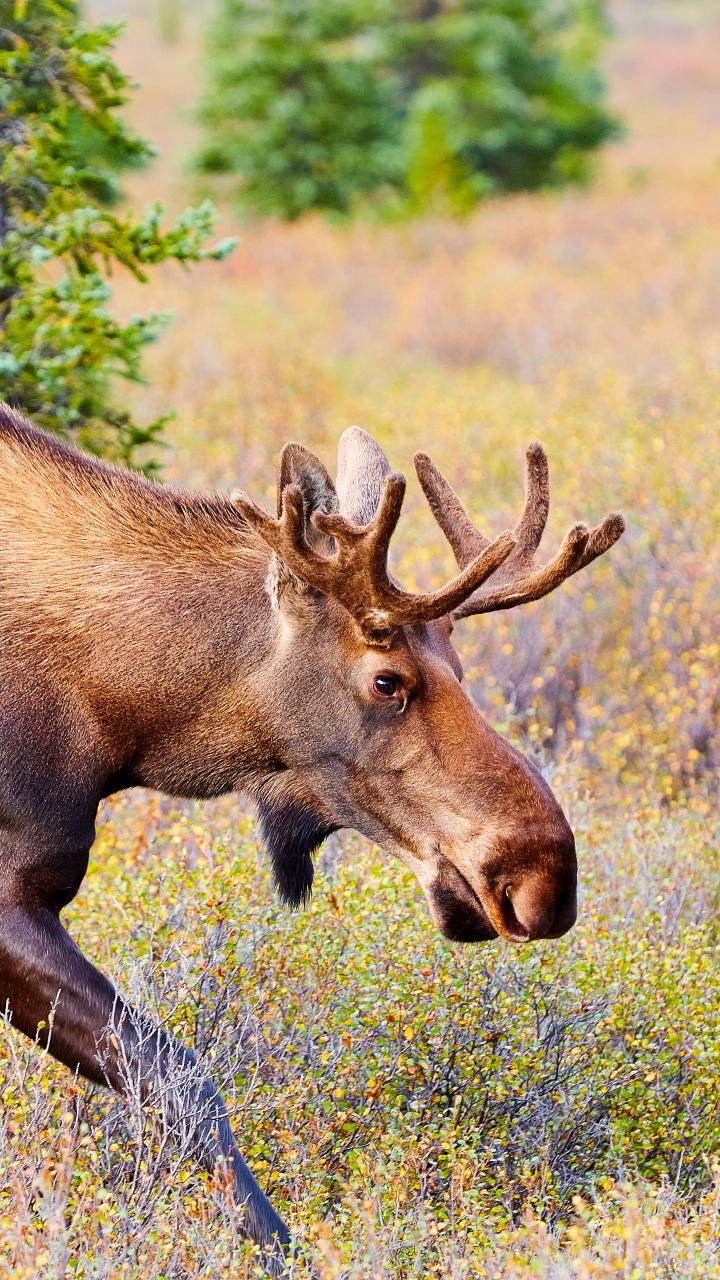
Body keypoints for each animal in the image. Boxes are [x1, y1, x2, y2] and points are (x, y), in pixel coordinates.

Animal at [0, 401, 623, 1273]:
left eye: (463, 667)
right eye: (387, 680)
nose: (544, 875)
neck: (119, 709)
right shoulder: (13, 892)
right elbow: (182, 1080)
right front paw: (278, 1247)